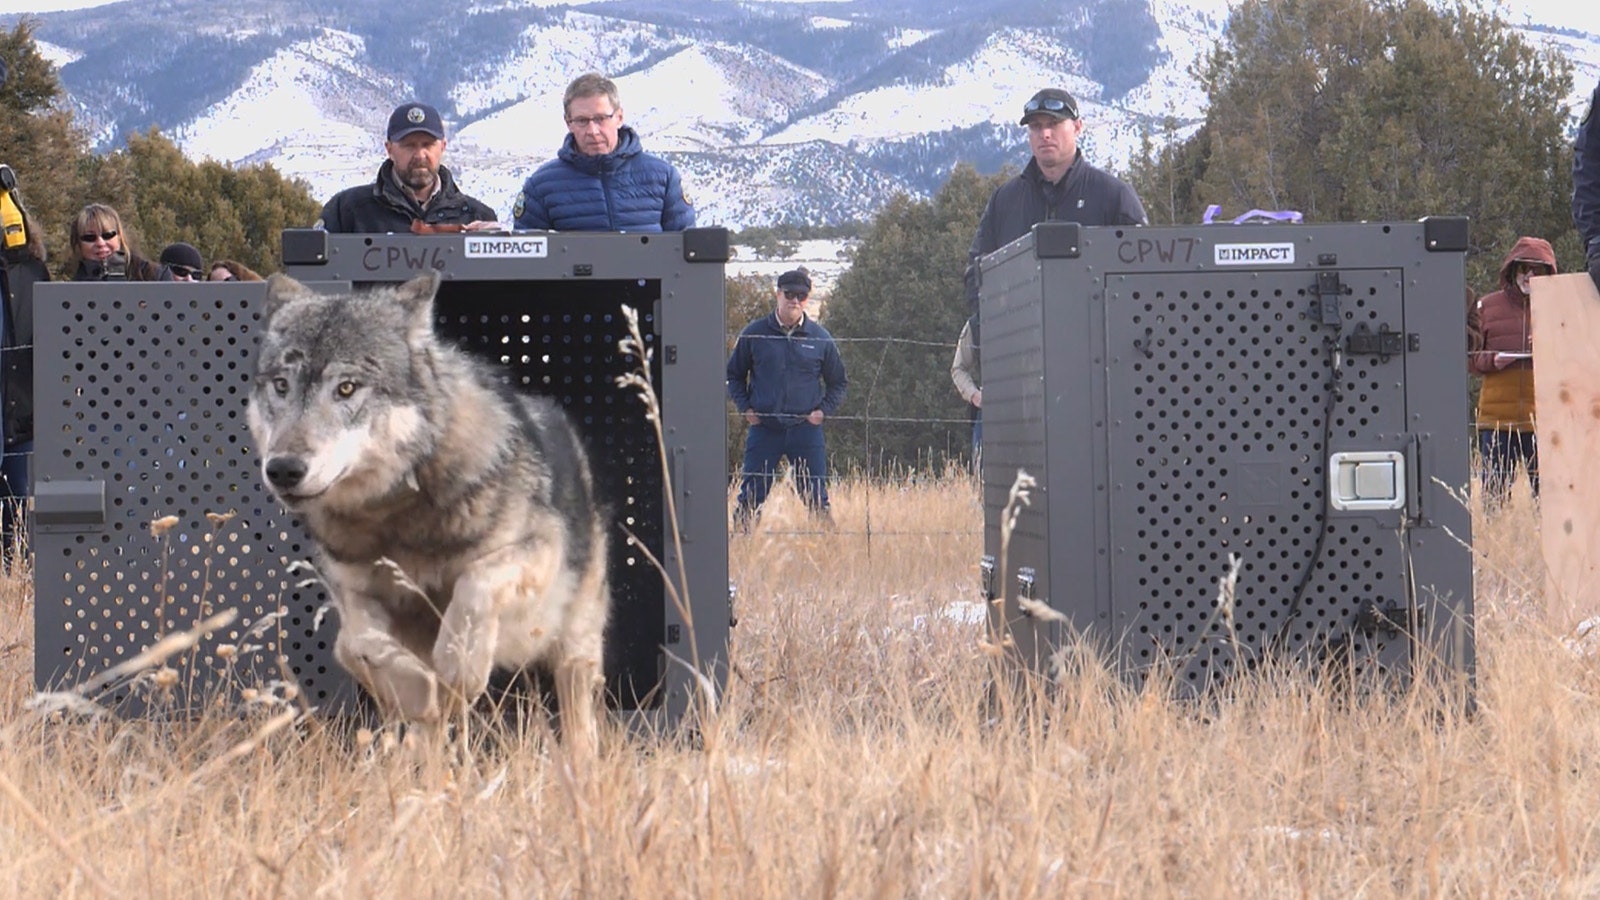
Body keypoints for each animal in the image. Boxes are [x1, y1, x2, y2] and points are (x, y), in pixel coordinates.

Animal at [247, 272, 610, 748]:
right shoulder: (354, 591)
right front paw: (420, 690)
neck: (397, 518)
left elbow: (476, 583)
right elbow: (353, 645)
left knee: (580, 720)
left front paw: (459, 666)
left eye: (346, 388)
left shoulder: (536, 553)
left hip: (575, 650)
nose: (284, 469)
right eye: (281, 386)